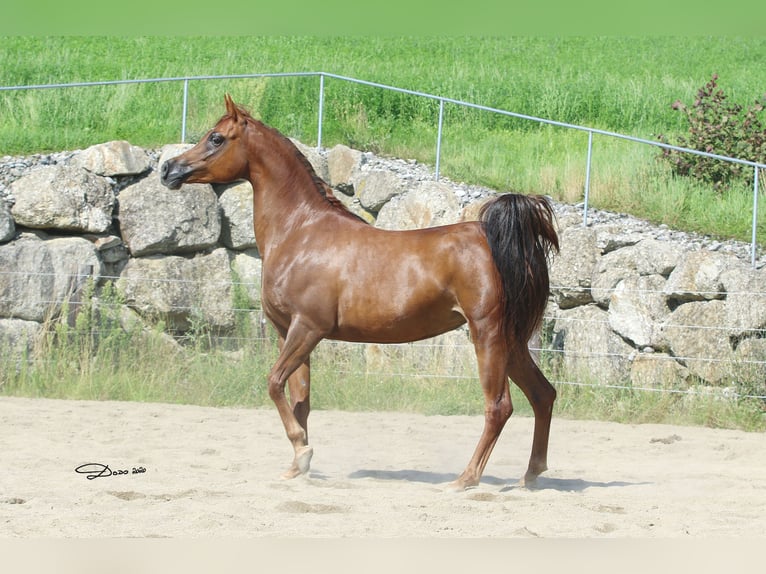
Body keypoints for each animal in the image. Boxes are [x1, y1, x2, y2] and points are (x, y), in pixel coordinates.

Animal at [160, 95, 560, 490]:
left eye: (216, 138)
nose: (168, 170)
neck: (300, 233)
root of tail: (499, 238)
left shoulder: (309, 328)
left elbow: (274, 384)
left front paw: (303, 451)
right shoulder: (288, 333)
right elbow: (299, 399)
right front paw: (298, 465)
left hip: (487, 335)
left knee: (500, 405)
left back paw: (466, 479)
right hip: (512, 341)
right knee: (543, 394)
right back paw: (531, 474)